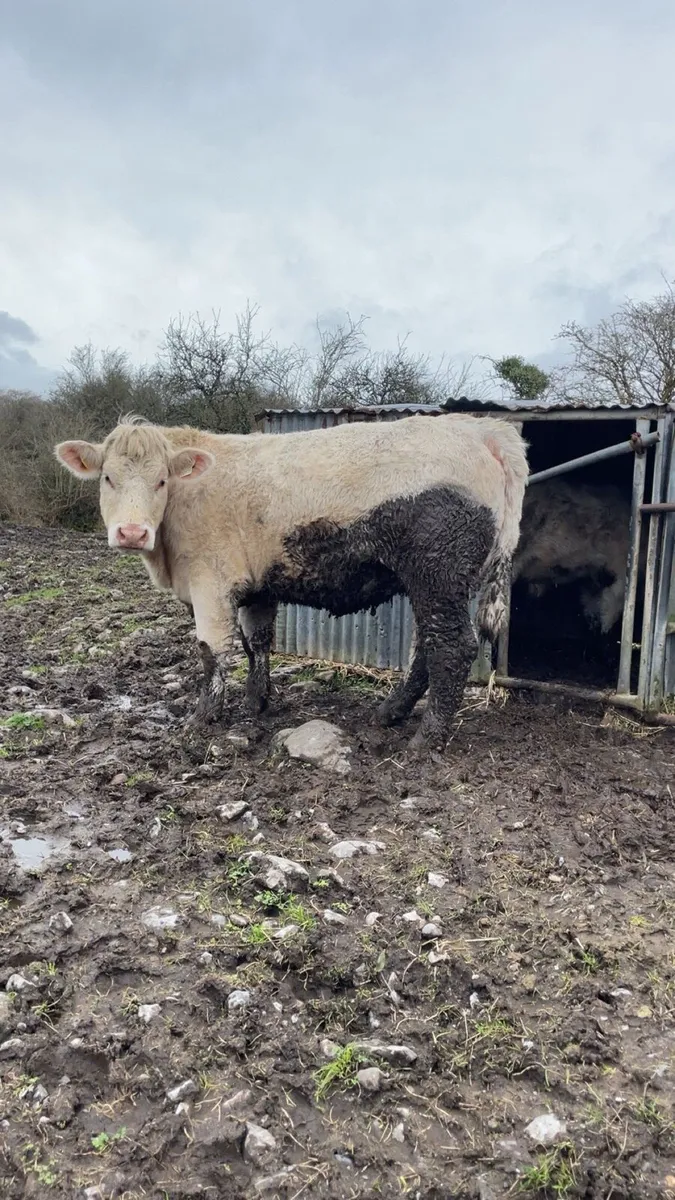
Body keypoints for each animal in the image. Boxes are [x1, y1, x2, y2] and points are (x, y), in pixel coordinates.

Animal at [55, 412, 528, 749]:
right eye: (108, 478)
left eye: (161, 480)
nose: (132, 532)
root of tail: (482, 430)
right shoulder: (256, 587)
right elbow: (257, 642)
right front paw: (257, 701)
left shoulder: (210, 583)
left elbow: (212, 652)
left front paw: (202, 718)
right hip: (434, 582)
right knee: (426, 647)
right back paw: (390, 712)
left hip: (438, 573)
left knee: (452, 647)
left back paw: (425, 740)